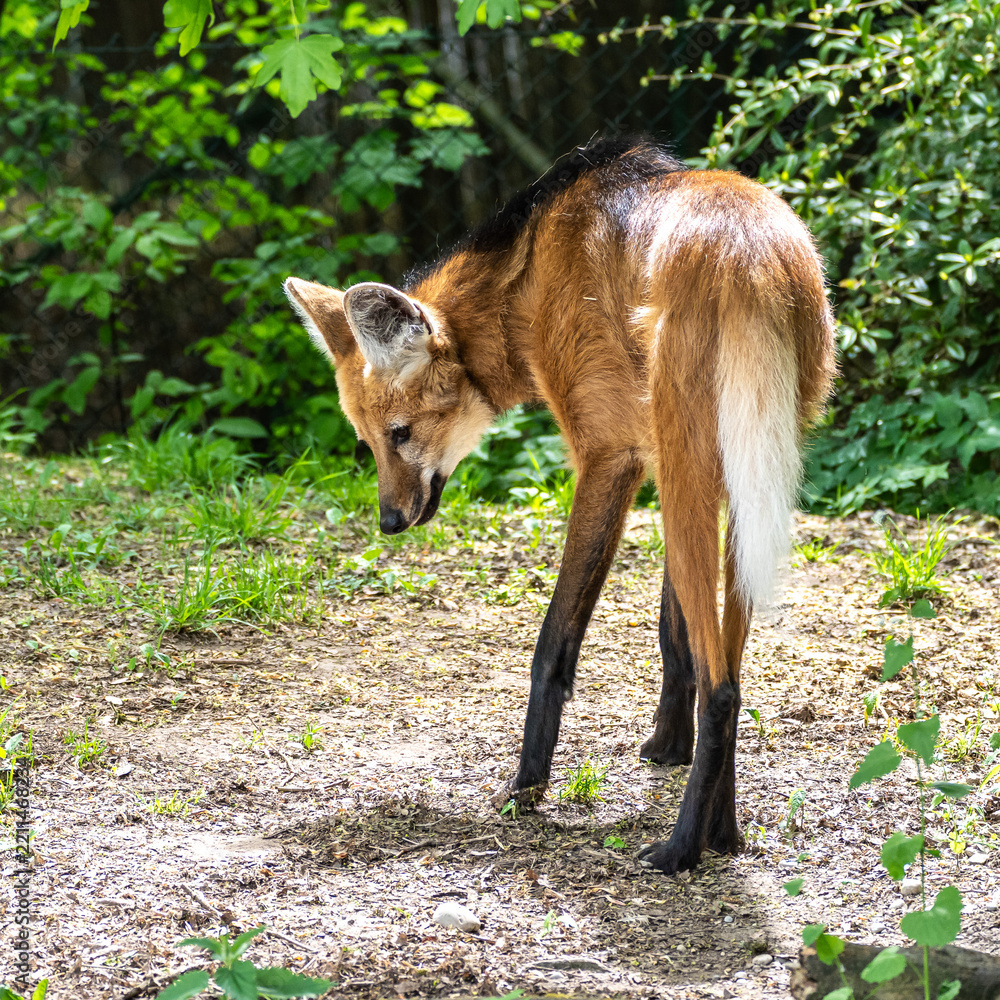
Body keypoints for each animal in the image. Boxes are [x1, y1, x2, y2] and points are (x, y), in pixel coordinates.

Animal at [284, 136, 836, 874]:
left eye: (400, 434)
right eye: (366, 443)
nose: (391, 521)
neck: (524, 281)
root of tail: (754, 255)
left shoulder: (609, 456)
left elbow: (555, 641)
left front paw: (525, 788)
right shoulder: (663, 457)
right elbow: (677, 633)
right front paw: (669, 751)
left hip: (695, 451)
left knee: (724, 687)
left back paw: (680, 849)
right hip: (747, 456)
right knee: (733, 662)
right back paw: (723, 831)